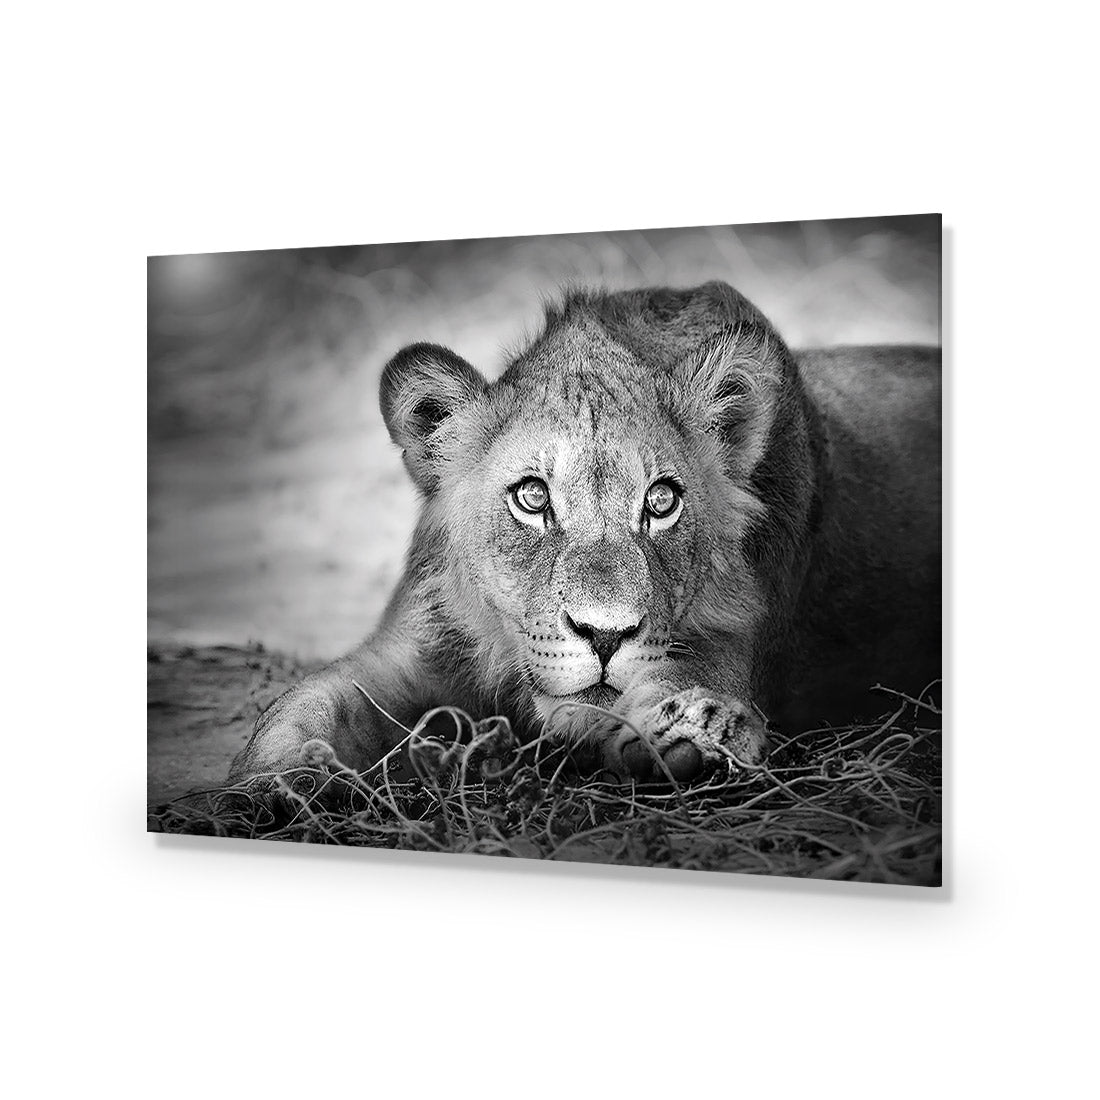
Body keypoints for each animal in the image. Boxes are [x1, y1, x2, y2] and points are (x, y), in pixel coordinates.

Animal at [229, 281, 941, 785]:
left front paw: (693, 731)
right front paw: (273, 784)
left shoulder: (734, 647)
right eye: (532, 497)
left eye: (661, 501)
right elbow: (302, 704)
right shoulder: (411, 649)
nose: (605, 635)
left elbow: (651, 695)